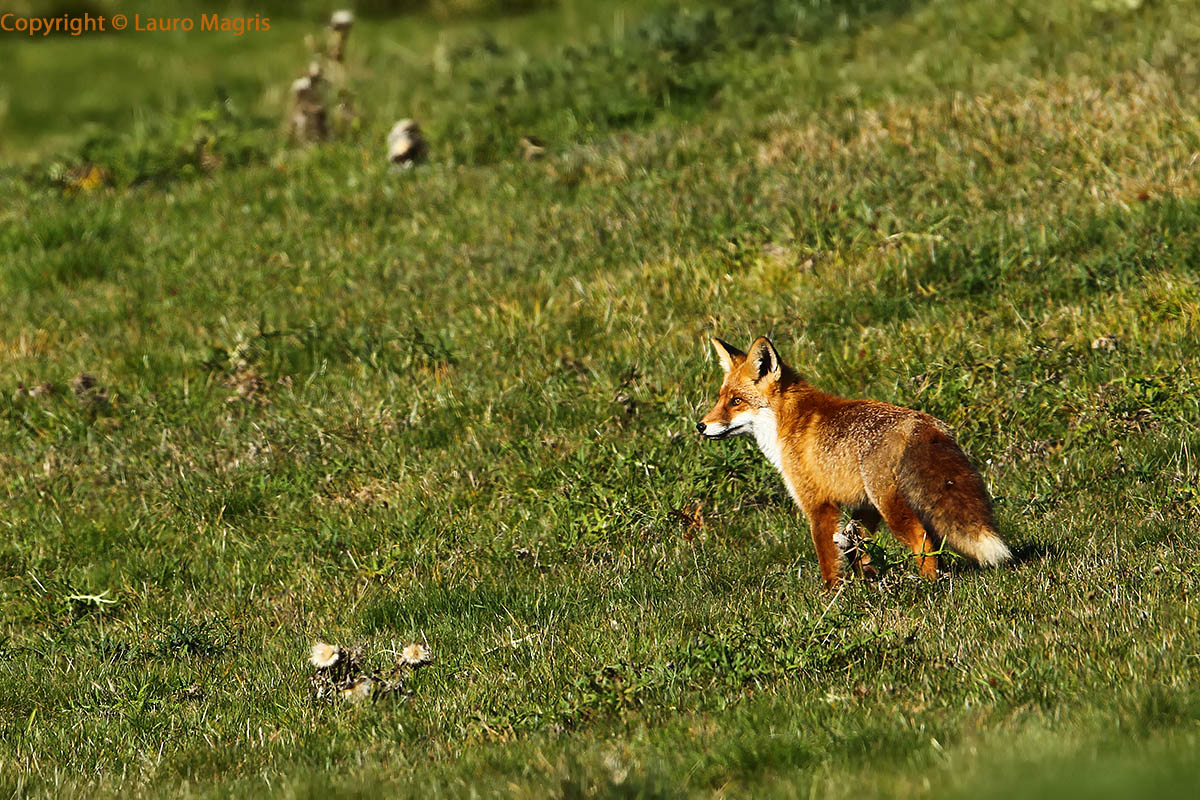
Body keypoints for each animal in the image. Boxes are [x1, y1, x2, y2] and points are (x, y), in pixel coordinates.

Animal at [697, 336, 1011, 587]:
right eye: (721, 398)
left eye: (736, 401)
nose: (701, 426)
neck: (788, 422)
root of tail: (922, 426)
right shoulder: (864, 506)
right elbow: (858, 546)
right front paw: (868, 582)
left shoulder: (818, 505)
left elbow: (828, 560)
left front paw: (831, 598)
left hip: (891, 507)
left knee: (921, 539)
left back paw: (928, 585)